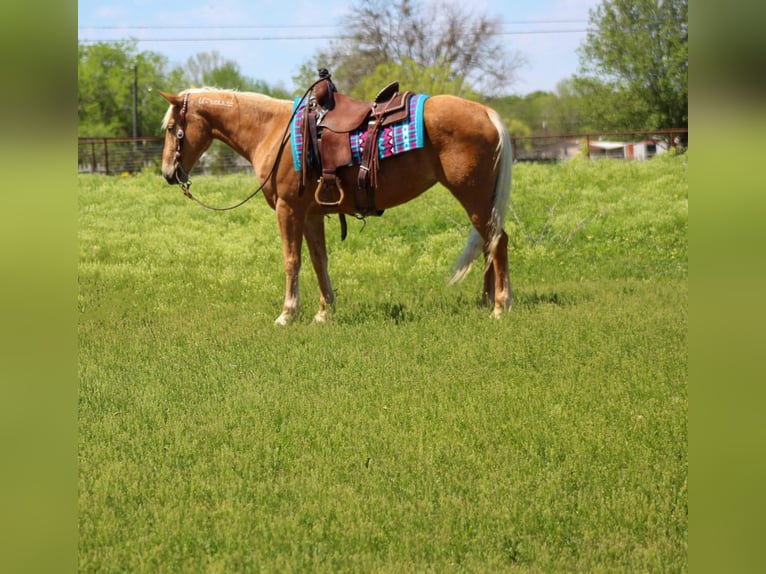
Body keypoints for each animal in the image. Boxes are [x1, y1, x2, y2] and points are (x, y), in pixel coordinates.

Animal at [158, 87, 512, 326]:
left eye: (171, 128)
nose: (168, 174)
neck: (272, 132)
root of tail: (486, 112)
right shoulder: (311, 214)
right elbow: (319, 261)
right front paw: (324, 312)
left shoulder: (288, 210)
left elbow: (292, 260)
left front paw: (287, 314)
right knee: (487, 244)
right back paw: (484, 301)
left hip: (473, 196)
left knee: (498, 241)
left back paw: (499, 306)